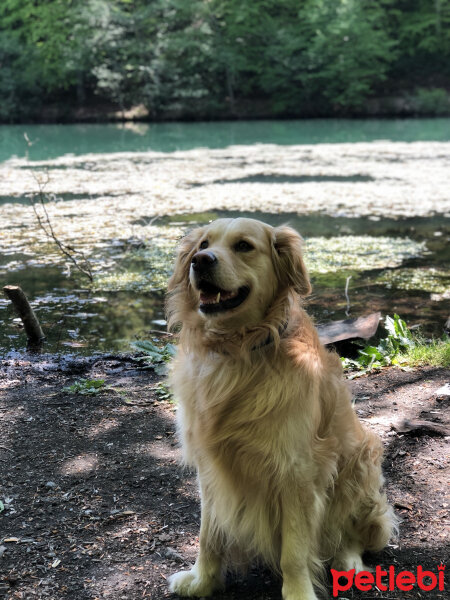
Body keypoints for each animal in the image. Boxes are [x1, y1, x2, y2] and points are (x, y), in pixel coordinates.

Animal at [164, 217, 394, 600]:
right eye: (202, 245)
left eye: (243, 245)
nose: (201, 261)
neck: (238, 351)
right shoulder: (210, 465)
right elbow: (208, 535)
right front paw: (202, 581)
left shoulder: (296, 471)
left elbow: (294, 552)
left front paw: (298, 593)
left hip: (360, 460)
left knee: (349, 533)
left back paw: (348, 561)